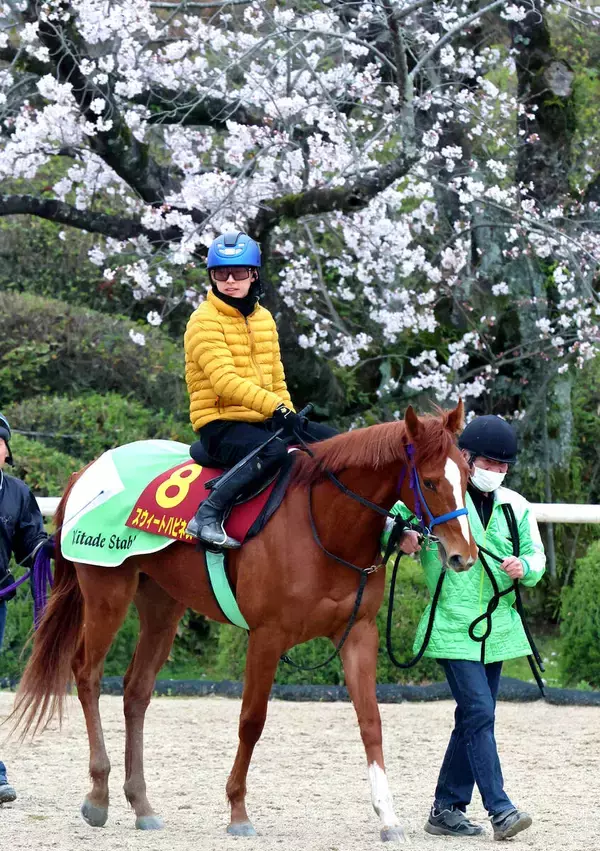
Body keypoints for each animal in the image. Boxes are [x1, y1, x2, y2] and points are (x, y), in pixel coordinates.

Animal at [12, 402, 477, 843]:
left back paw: (141, 804)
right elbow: (252, 721)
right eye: (430, 482)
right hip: (107, 593)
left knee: (136, 691)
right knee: (87, 674)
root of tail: (87, 471)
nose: (464, 556)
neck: (323, 523)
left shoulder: (359, 633)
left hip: (162, 604)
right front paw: (238, 812)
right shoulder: (266, 637)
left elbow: (371, 722)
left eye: (467, 477)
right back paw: (98, 795)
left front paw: (388, 817)